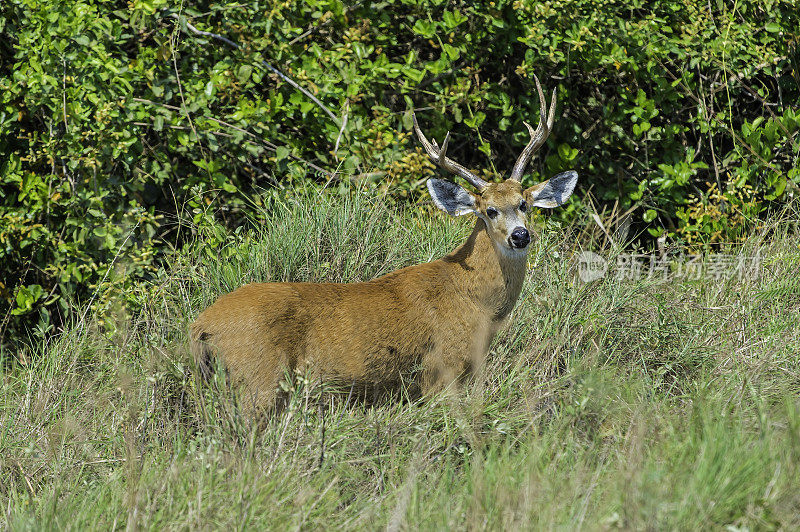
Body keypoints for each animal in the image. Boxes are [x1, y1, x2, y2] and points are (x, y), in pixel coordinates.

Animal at [192, 78, 580, 412]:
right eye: (489, 210)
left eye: (524, 203)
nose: (520, 235)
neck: (476, 299)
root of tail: (200, 327)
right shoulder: (441, 368)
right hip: (258, 377)